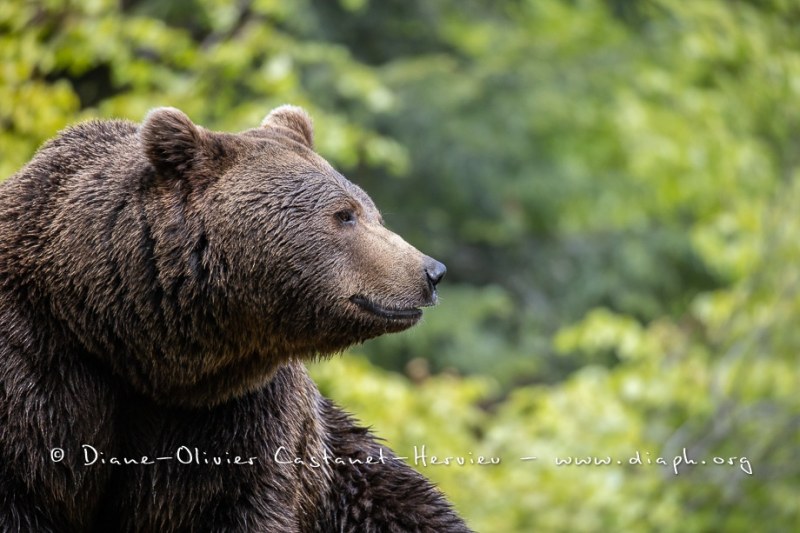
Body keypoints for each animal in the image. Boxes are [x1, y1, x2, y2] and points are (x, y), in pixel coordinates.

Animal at [0, 106, 472, 528]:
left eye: (373, 213)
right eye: (344, 215)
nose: (431, 272)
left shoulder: (241, 412)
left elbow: (237, 499)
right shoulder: (38, 367)